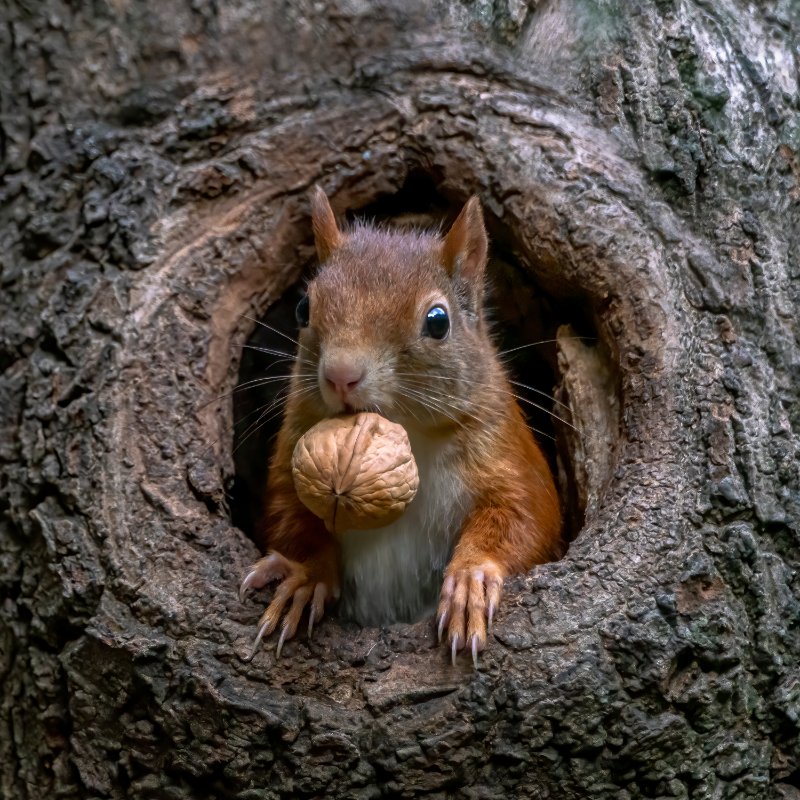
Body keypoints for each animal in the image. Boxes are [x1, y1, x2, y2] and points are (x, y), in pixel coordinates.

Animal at [239, 186, 564, 664]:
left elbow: (527, 516)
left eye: (438, 321)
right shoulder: (292, 448)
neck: (410, 432)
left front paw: (470, 580)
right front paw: (304, 577)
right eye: (302, 307)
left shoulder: (505, 450)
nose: (341, 374)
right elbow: (289, 517)